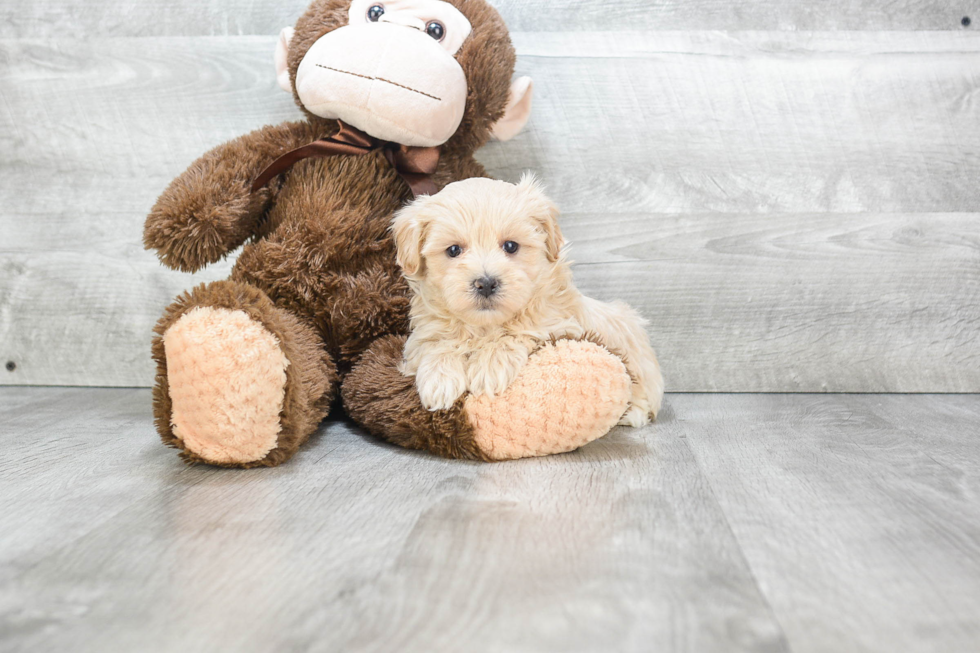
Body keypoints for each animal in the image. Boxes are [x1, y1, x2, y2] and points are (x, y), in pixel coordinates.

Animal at [390, 176, 668, 426]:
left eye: (511, 246)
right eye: (454, 250)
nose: (486, 283)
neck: (484, 327)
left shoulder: (560, 324)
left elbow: (521, 331)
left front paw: (490, 366)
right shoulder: (423, 336)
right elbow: (436, 344)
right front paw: (440, 380)